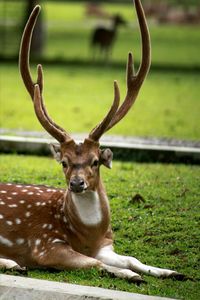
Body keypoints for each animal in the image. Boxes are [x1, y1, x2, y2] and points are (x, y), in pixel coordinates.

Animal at [0, 0, 185, 282]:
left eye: (95, 161)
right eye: (64, 162)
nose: (77, 183)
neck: (87, 235)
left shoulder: (106, 244)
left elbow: (131, 258)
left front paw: (170, 271)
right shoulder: (45, 244)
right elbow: (94, 263)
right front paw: (131, 276)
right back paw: (13, 263)